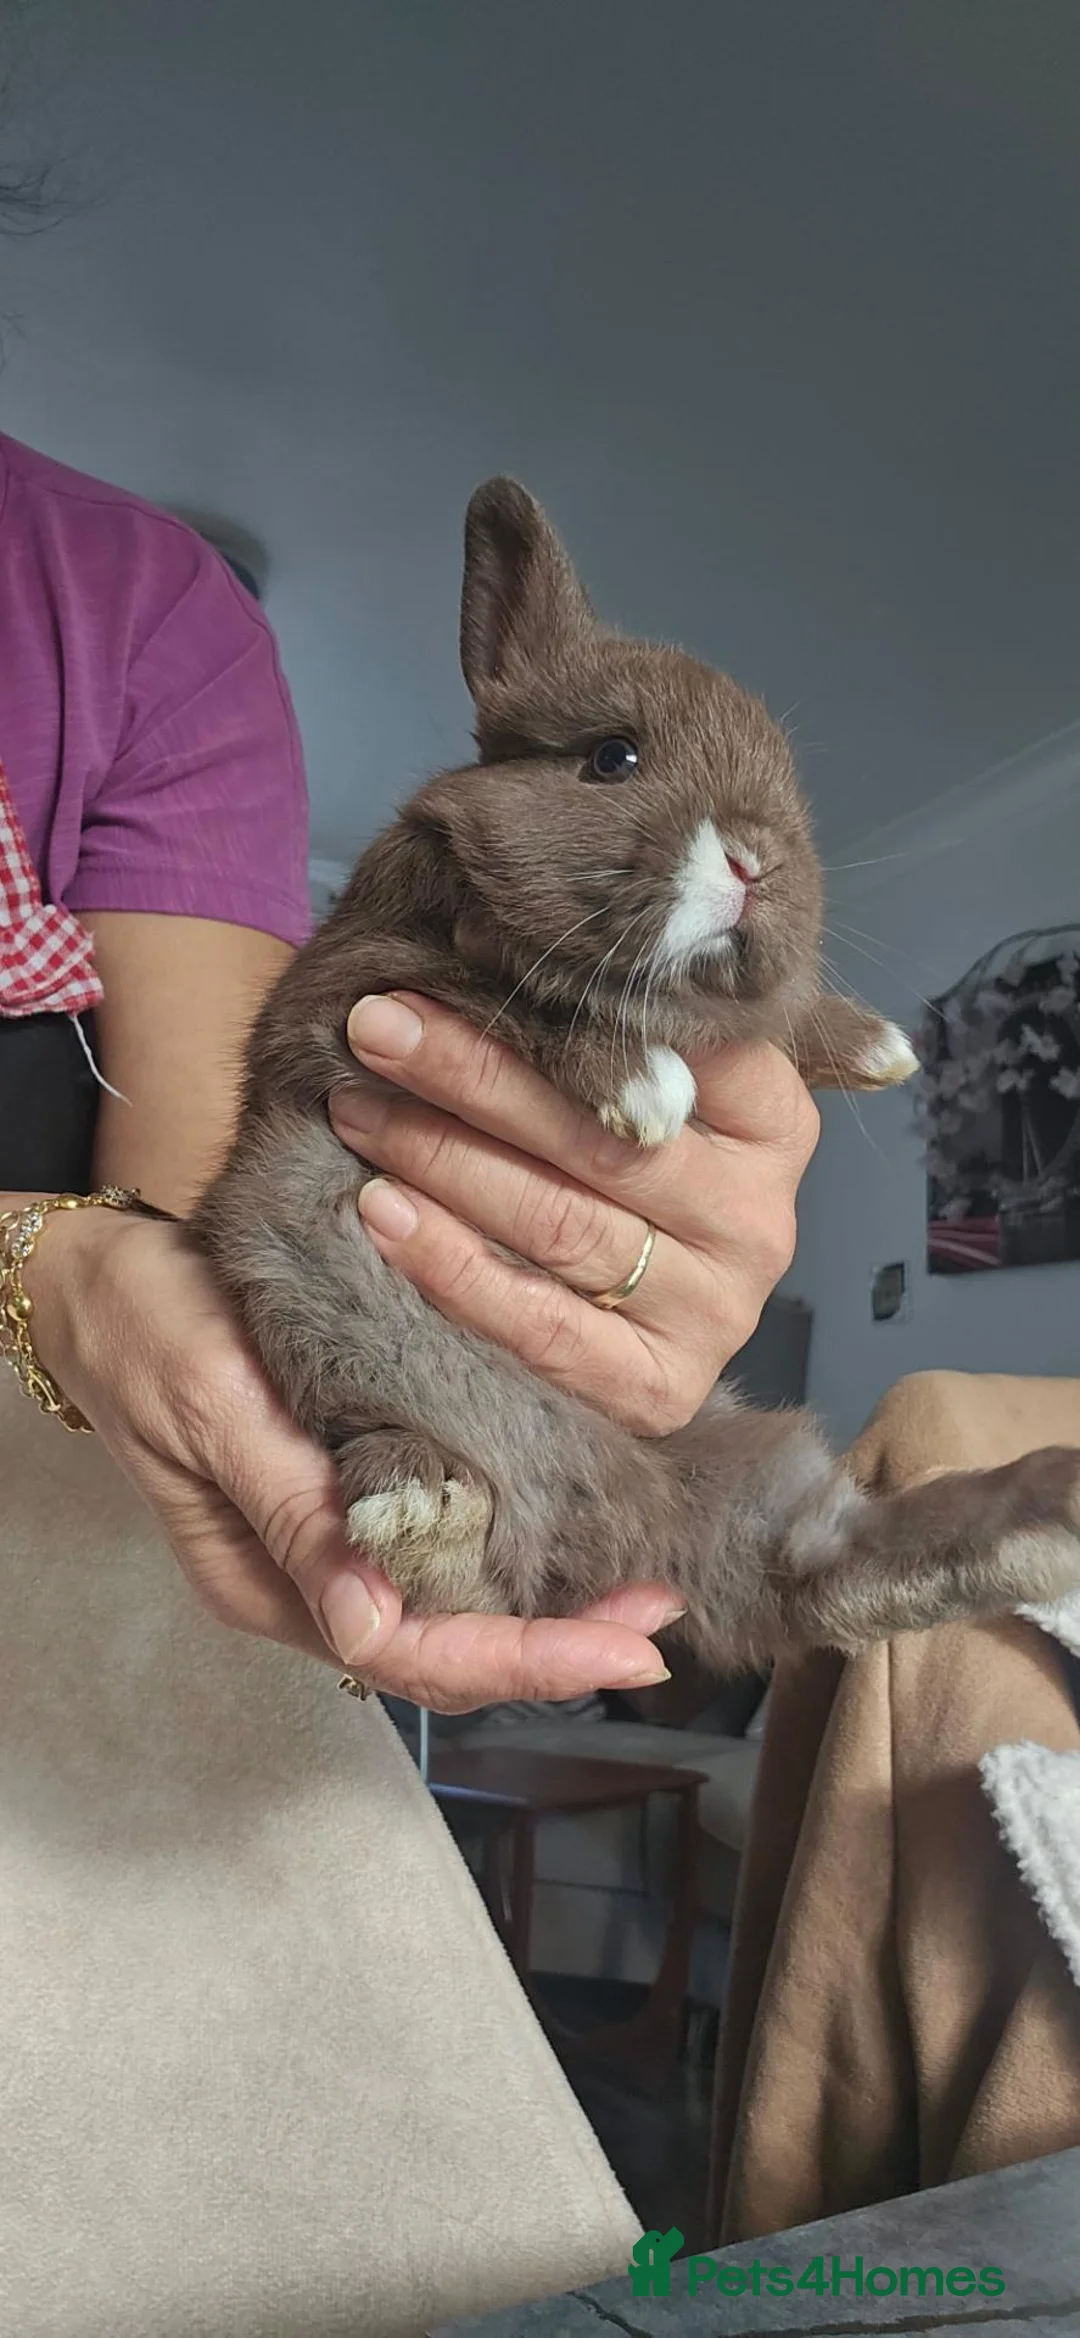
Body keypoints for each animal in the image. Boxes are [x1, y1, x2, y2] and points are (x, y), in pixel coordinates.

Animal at [190, 480, 1080, 1672]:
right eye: (612, 757)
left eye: (790, 792)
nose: (756, 859)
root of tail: (617, 1530)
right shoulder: (363, 990)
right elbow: (525, 998)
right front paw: (648, 1090)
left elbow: (773, 1016)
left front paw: (879, 1047)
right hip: (303, 1285)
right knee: (466, 1573)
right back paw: (425, 1505)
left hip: (743, 1481)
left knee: (835, 1573)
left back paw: (1049, 1510)